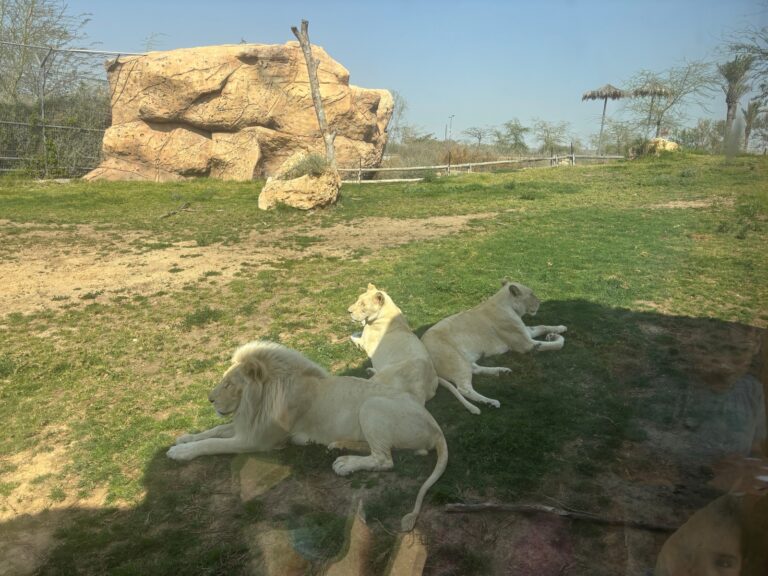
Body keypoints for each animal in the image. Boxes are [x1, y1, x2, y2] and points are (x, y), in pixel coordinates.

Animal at [166, 340, 447, 531]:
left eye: (228, 384)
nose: (210, 399)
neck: (258, 401)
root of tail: (435, 427)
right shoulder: (250, 424)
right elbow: (214, 431)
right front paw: (184, 439)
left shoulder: (259, 439)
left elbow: (213, 443)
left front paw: (180, 452)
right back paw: (337, 445)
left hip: (372, 405)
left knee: (384, 459)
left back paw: (345, 464)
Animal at [348, 283, 480, 414]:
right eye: (358, 300)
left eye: (363, 304)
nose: (348, 311)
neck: (386, 312)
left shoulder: (366, 344)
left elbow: (353, 336)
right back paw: (370, 370)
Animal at [421, 279, 567, 410]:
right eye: (531, 294)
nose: (540, 302)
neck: (508, 305)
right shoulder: (526, 345)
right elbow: (557, 344)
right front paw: (556, 337)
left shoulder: (526, 333)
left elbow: (543, 326)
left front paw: (560, 328)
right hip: (457, 361)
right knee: (464, 388)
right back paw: (489, 402)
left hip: (464, 359)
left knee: (476, 369)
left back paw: (502, 371)